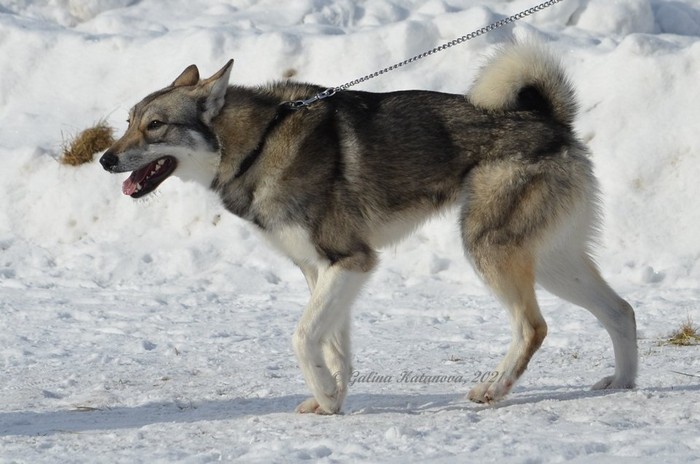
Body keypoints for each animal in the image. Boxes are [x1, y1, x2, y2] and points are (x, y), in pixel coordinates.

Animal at [100, 42, 640, 414]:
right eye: (127, 121)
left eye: (154, 125)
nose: (104, 159)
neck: (258, 142)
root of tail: (551, 121)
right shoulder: (323, 270)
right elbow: (333, 346)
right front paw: (332, 401)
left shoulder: (351, 260)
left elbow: (302, 338)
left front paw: (324, 394)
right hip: (551, 262)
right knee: (622, 311)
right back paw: (623, 383)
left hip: (489, 249)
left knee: (534, 326)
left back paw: (494, 388)